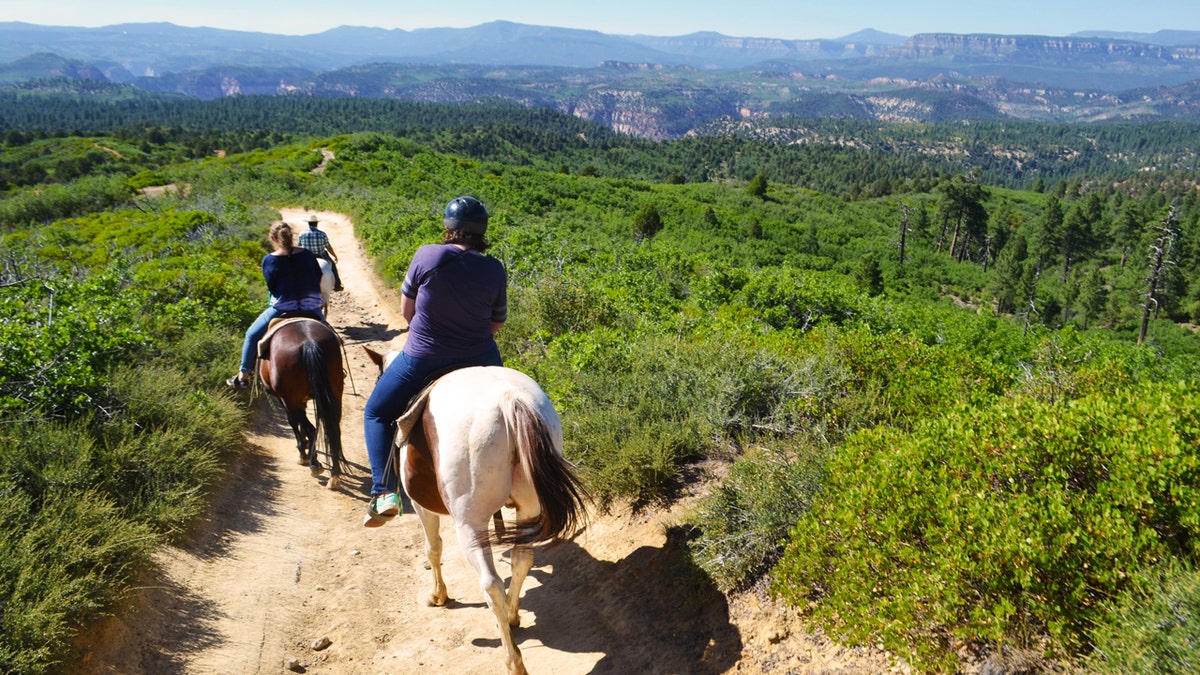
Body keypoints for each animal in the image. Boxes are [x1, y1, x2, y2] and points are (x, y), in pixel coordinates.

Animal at [258, 317, 343, 487]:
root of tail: (309, 342)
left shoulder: (285, 399)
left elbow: (293, 422)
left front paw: (303, 452)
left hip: (290, 398)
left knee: (311, 428)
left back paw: (314, 464)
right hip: (336, 392)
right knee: (334, 430)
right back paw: (334, 475)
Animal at [364, 345, 590, 672]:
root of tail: (510, 399)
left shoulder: (421, 506)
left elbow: (433, 548)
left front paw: (438, 595)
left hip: (470, 523)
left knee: (491, 584)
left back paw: (513, 660)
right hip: (529, 508)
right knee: (522, 560)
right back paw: (512, 616)